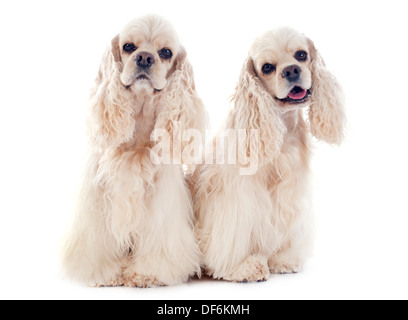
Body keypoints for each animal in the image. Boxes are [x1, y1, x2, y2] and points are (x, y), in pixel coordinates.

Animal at [191, 27, 344, 282]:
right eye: (267, 67)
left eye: (301, 55)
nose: (291, 70)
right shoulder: (237, 196)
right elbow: (236, 234)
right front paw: (243, 266)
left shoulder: (291, 192)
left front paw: (284, 258)